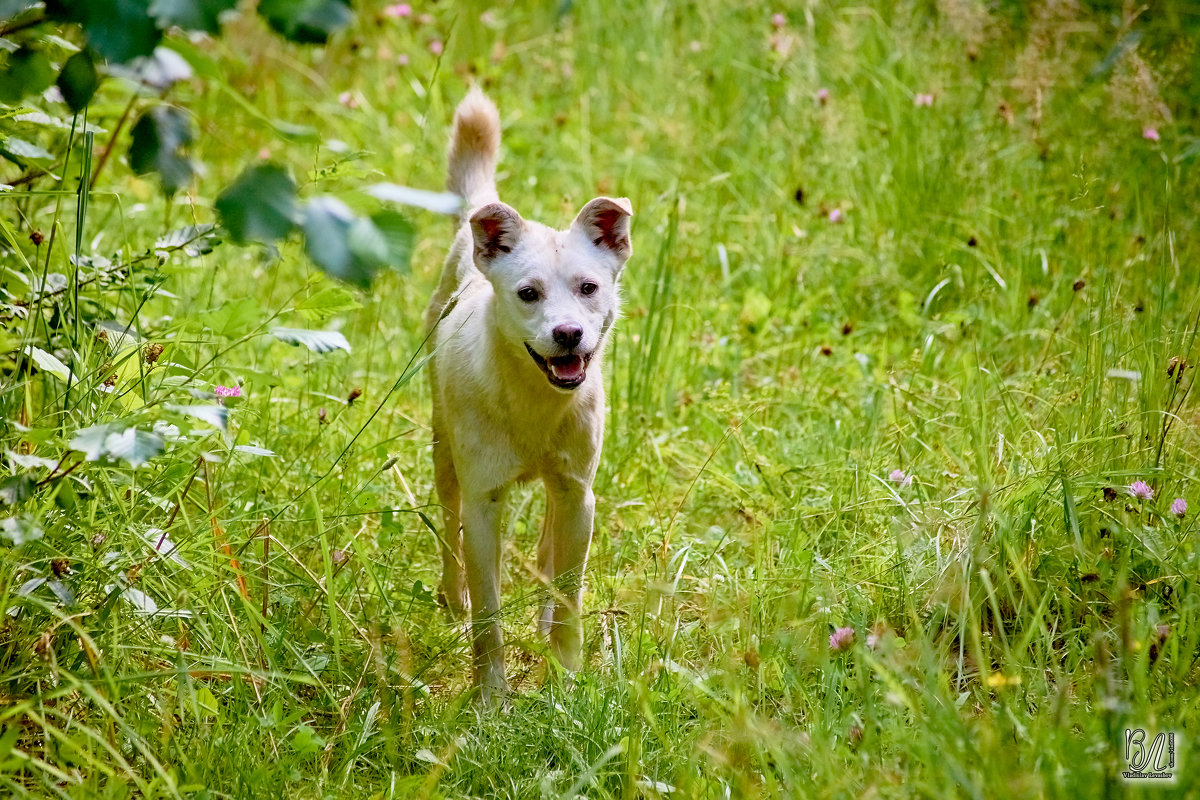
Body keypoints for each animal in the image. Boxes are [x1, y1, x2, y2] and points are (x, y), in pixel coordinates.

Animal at [424, 89, 633, 700]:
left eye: (589, 287)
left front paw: (565, 677)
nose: (568, 333)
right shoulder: (482, 503)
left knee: (548, 551)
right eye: (527, 293)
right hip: (444, 455)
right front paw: (490, 697)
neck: (535, 405)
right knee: (449, 535)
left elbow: (569, 593)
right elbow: (489, 614)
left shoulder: (577, 493)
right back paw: (453, 603)